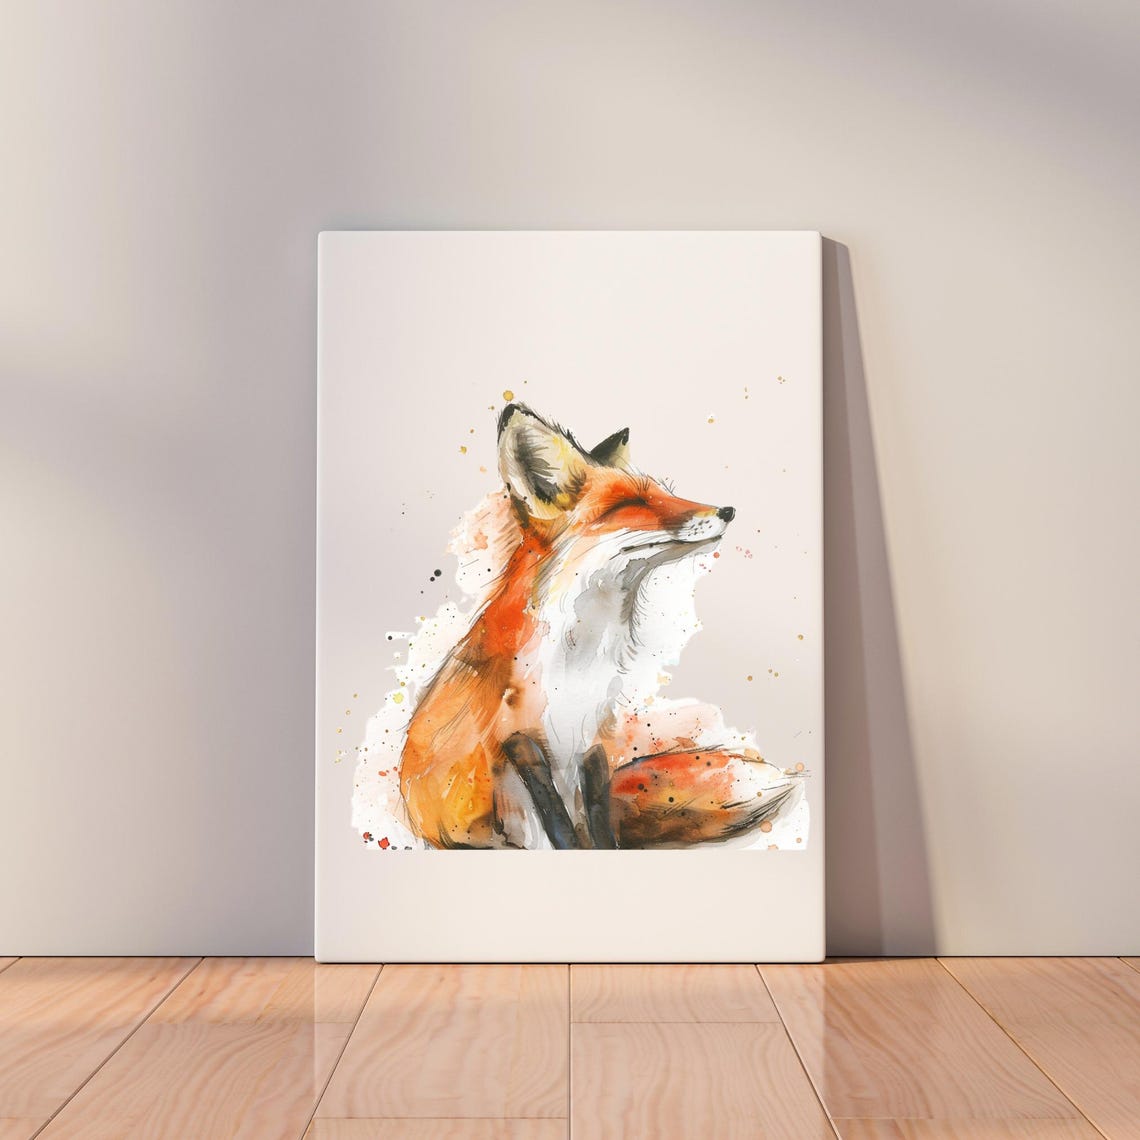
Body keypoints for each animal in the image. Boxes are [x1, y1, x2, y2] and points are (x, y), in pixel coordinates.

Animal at [398, 402, 803, 849]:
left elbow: (598, 816)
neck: (583, 655)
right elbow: (557, 822)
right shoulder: (516, 737)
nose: (727, 511)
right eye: (633, 502)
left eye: (664, 492)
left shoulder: (592, 734)